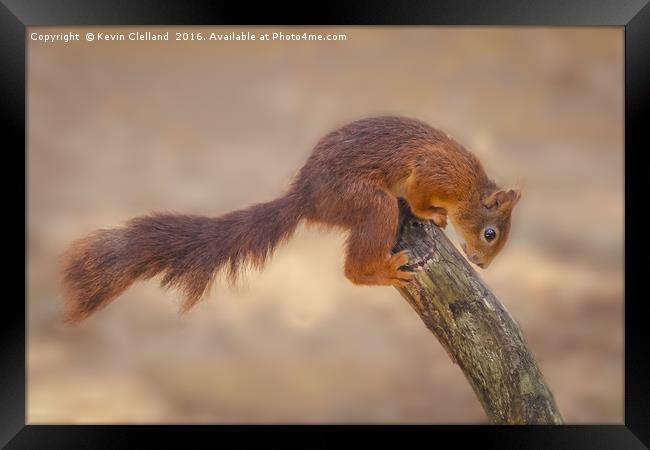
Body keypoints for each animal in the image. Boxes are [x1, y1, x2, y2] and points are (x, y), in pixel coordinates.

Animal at [63, 114, 520, 322]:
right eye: (490, 233)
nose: (481, 264)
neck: (469, 187)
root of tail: (306, 198)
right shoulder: (432, 172)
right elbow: (423, 198)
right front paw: (433, 214)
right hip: (369, 202)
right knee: (355, 265)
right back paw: (382, 270)